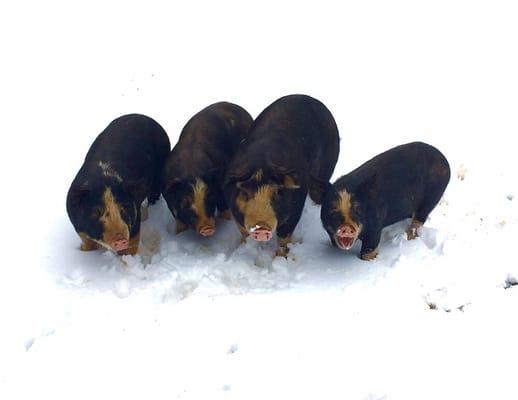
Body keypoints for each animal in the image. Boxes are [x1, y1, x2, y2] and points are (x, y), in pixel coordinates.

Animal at [66, 114, 172, 255]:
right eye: (97, 211)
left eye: (124, 208)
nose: (120, 239)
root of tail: (145, 117)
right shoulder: (79, 228)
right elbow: (88, 244)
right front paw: (85, 252)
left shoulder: (134, 223)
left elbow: (132, 246)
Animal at [160, 101, 254, 236]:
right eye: (186, 202)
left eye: (209, 197)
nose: (207, 229)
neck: (190, 171)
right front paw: (179, 233)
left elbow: (224, 206)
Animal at [223, 94, 342, 256]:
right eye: (246, 193)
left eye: (276, 193)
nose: (261, 227)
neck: (261, 162)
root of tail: (307, 96)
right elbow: (244, 233)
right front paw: (242, 248)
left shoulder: (296, 208)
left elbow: (284, 237)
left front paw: (281, 258)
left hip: (328, 165)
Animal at [318, 142, 452, 260]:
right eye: (332, 209)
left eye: (357, 209)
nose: (346, 226)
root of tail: (444, 159)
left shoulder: (375, 227)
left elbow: (368, 250)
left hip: (431, 197)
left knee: (419, 219)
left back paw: (410, 238)